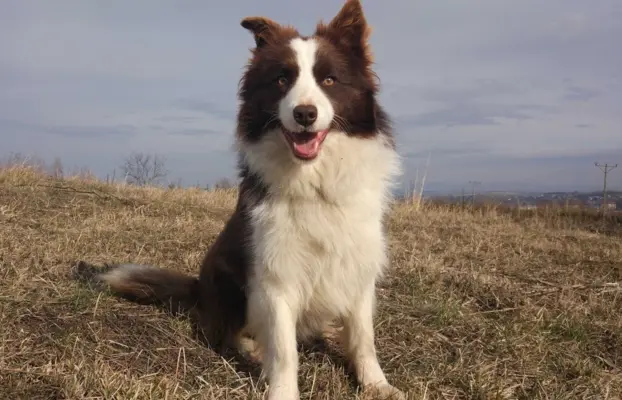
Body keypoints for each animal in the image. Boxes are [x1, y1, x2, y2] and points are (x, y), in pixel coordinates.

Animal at [74, 1, 404, 398]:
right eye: (281, 80)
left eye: (329, 80)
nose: (304, 114)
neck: (314, 181)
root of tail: (199, 289)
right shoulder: (275, 274)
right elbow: (284, 348)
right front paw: (282, 390)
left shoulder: (358, 265)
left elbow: (363, 337)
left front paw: (377, 384)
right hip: (227, 277)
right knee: (229, 332)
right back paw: (252, 348)